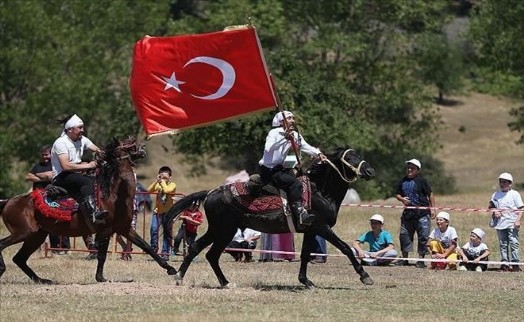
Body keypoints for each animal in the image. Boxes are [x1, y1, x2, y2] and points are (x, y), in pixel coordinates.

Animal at [0, 137, 176, 284]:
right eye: (129, 142)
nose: (143, 147)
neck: (112, 195)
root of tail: (9, 201)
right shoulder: (105, 230)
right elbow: (102, 255)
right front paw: (100, 277)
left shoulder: (124, 229)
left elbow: (146, 247)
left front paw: (170, 269)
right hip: (23, 232)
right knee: (4, 246)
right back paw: (4, 269)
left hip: (36, 236)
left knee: (19, 259)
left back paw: (42, 280)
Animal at [166, 147, 374, 288]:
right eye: (349, 158)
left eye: (359, 155)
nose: (370, 172)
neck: (320, 192)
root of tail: (210, 193)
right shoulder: (321, 227)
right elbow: (345, 248)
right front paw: (364, 276)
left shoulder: (310, 230)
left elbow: (305, 255)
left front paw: (305, 281)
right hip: (224, 231)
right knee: (210, 253)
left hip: (218, 230)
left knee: (200, 250)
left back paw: (189, 278)